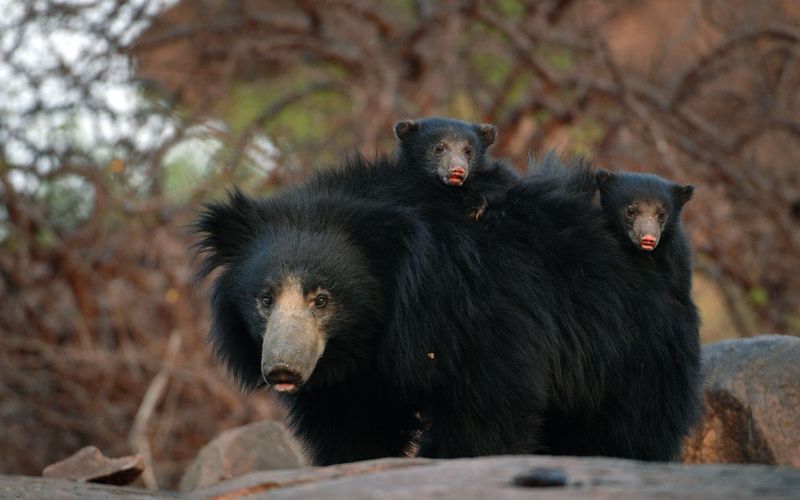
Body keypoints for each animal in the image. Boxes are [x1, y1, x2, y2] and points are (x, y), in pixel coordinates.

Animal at [195, 151, 700, 464]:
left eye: (322, 299)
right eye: (264, 299)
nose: (282, 369)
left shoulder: (484, 312)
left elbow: (488, 407)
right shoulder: (351, 378)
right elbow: (352, 427)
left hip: (633, 347)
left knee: (629, 429)